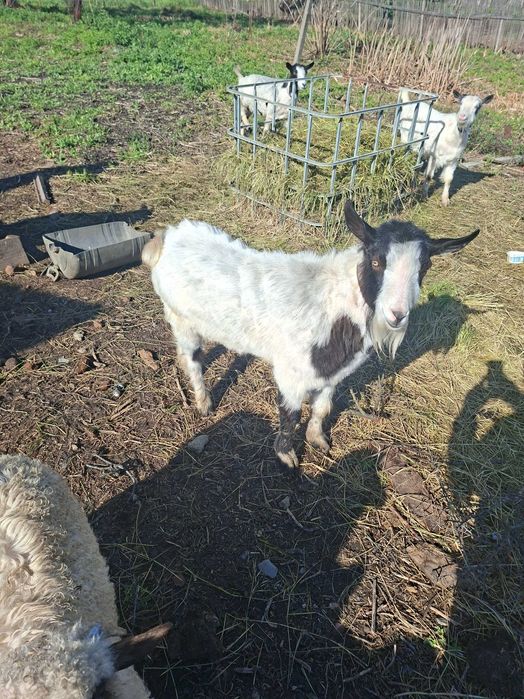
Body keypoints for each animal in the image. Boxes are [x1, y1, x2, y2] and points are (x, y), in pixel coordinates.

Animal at [142, 202, 479, 470]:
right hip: (181, 318)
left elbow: (323, 406)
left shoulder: (331, 371)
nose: (396, 314)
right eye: (376, 261)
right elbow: (290, 414)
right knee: (192, 359)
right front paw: (286, 456)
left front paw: (318, 439)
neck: (334, 303)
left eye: (425, 266)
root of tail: (166, 238)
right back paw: (204, 403)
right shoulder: (291, 373)